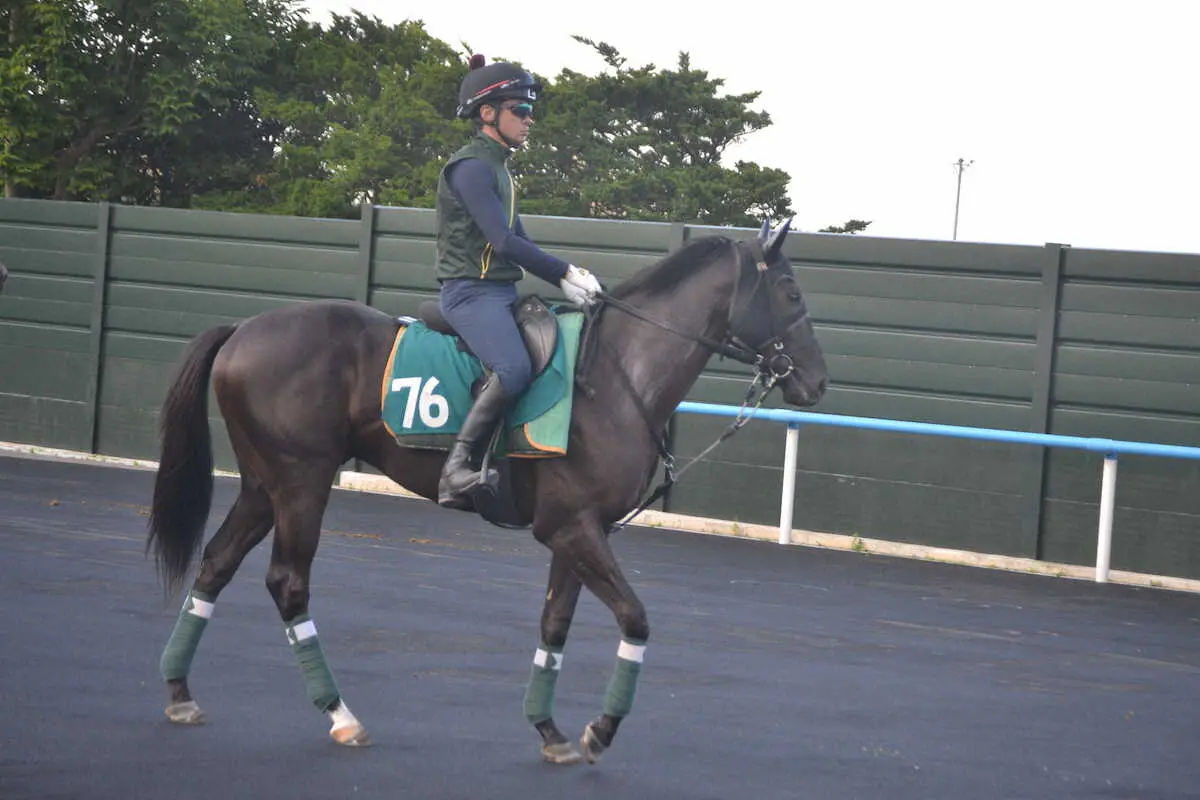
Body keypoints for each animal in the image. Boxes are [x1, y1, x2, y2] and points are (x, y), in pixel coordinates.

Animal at [145, 217, 830, 762]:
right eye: (791, 290)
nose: (818, 382)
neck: (618, 377)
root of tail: (243, 329)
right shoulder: (571, 528)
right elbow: (635, 618)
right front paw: (600, 729)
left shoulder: (580, 531)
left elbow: (554, 626)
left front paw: (550, 729)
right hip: (301, 485)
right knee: (287, 584)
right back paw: (341, 715)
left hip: (264, 486)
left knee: (215, 565)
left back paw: (179, 693)